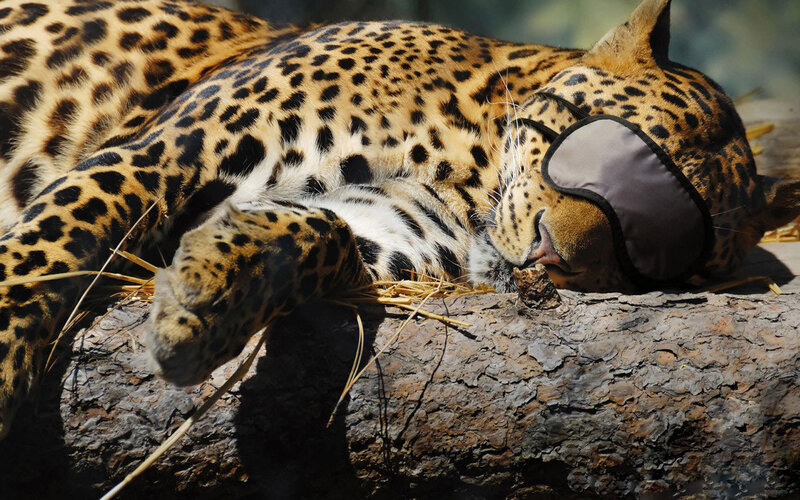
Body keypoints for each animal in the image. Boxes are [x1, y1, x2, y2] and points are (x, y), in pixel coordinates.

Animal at [0, 0, 797, 440]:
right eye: (595, 146)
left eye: (650, 251)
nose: (551, 256)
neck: (465, 162)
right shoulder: (167, 152)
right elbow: (44, 252)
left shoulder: (389, 227)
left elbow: (314, 231)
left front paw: (204, 297)